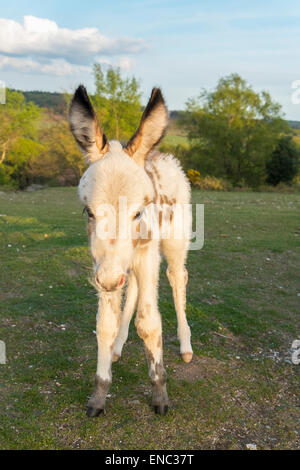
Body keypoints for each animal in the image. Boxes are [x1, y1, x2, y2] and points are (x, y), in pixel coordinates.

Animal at [68, 84, 192, 414]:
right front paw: (98, 396)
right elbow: (105, 324)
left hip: (174, 243)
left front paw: (160, 395)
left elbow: (149, 324)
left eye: (138, 212)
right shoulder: (104, 265)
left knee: (177, 278)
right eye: (88, 212)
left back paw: (186, 346)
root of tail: (162, 156)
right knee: (134, 287)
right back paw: (118, 347)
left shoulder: (146, 255)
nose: (111, 280)